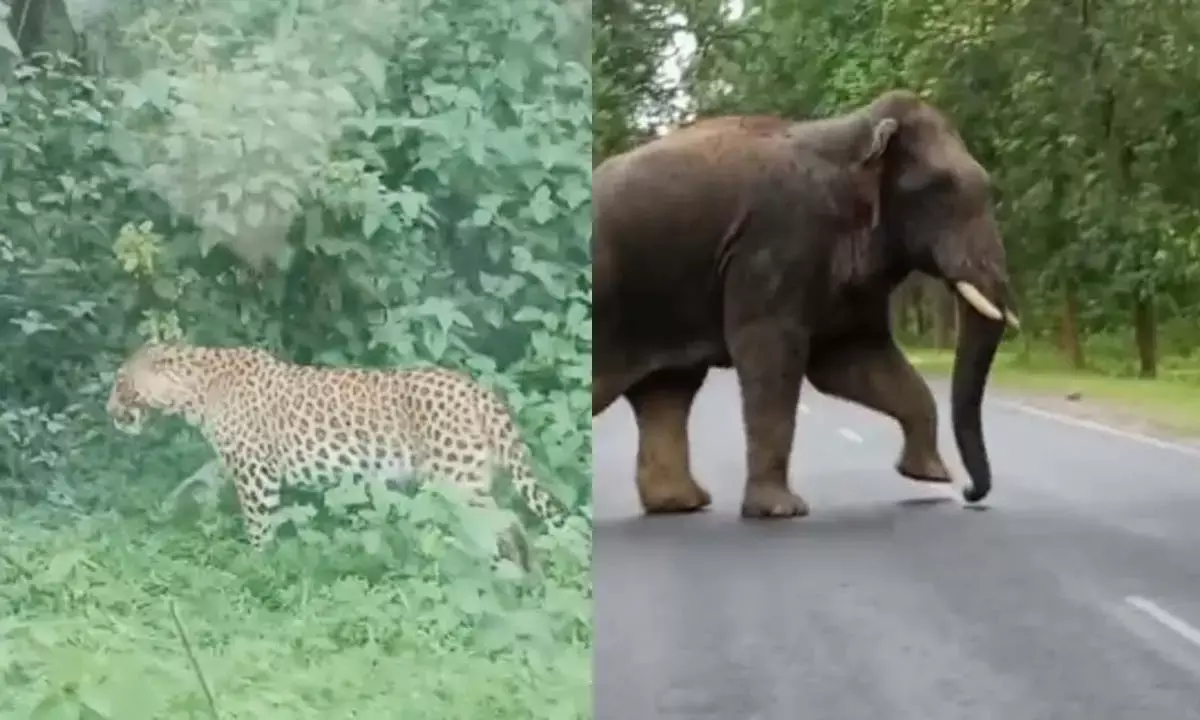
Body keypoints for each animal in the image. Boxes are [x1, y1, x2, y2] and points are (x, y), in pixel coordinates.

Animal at [105, 342, 565, 568]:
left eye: (122, 382)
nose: (108, 410)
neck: (196, 391)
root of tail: (476, 390)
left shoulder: (255, 474)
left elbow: (257, 525)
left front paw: (255, 564)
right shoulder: (234, 462)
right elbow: (200, 479)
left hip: (457, 482)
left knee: (498, 523)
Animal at [591, 89, 1020, 519]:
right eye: (940, 188)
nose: (969, 492)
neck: (852, 131)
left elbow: (853, 359)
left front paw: (928, 474)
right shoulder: (775, 244)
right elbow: (771, 350)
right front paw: (782, 510)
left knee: (667, 390)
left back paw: (681, 504)